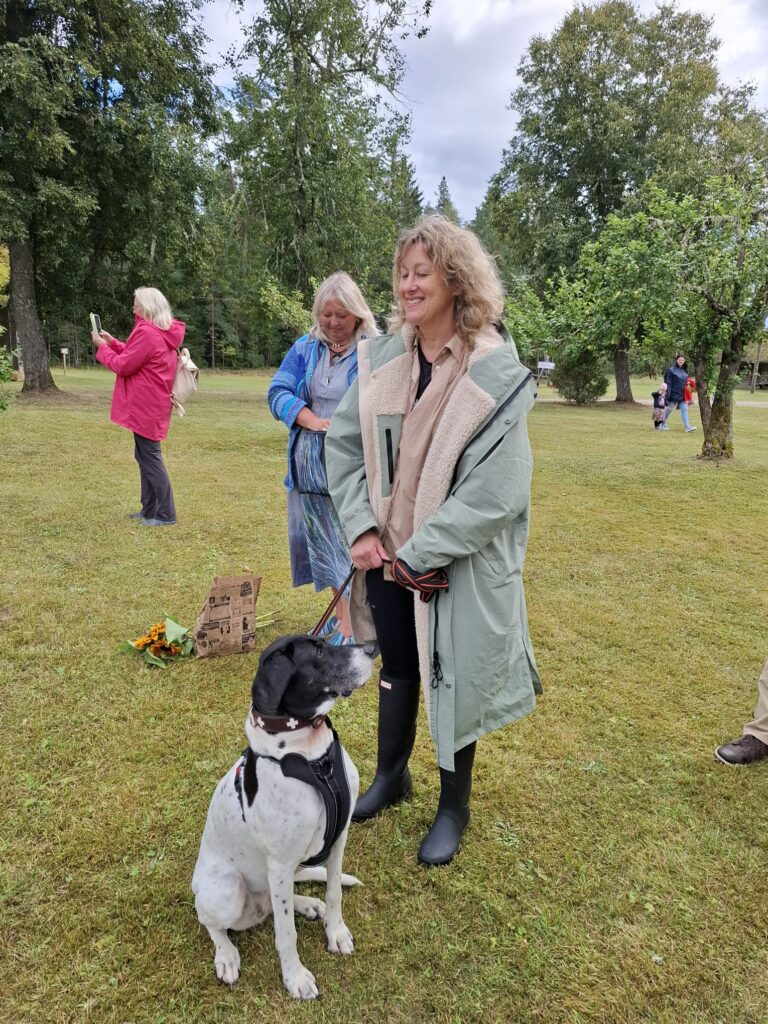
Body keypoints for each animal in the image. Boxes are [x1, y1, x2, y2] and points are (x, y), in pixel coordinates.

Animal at [192, 634, 375, 1000]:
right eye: (318, 652)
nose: (373, 648)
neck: (312, 757)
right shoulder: (279, 863)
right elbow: (286, 932)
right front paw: (296, 977)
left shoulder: (339, 838)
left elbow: (334, 891)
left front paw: (336, 933)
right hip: (228, 889)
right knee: (214, 924)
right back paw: (226, 955)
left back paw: (307, 905)